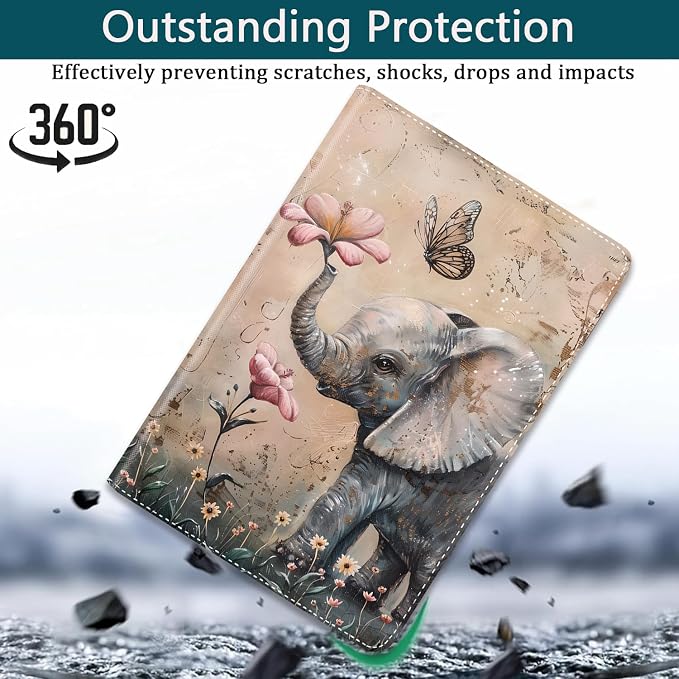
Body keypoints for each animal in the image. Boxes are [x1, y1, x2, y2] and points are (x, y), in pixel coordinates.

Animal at [281, 245, 544, 621]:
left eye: (384, 365)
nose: (331, 263)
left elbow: (347, 497)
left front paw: (287, 558)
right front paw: (318, 572)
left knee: (422, 572)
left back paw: (391, 618)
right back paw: (359, 594)